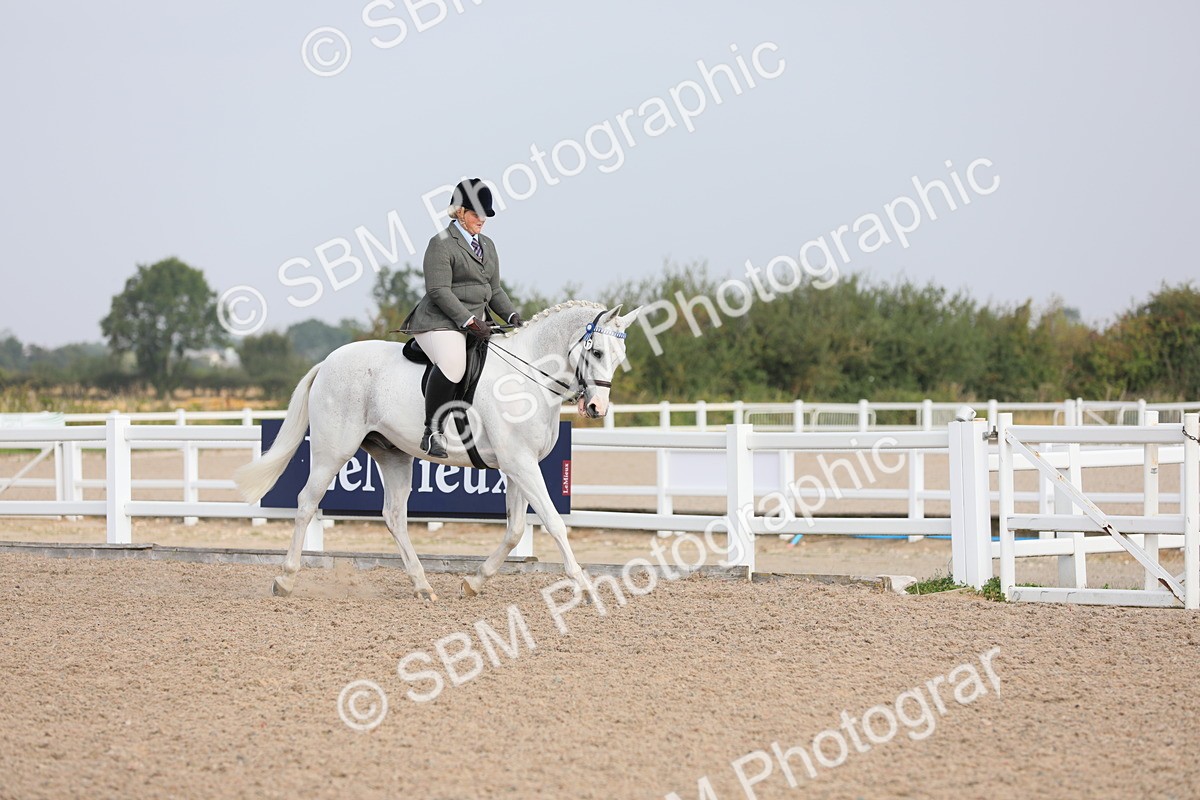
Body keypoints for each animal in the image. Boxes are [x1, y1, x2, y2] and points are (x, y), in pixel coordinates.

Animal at [233, 300, 641, 601]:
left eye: (620, 356)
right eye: (597, 351)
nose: (597, 408)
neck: (529, 380)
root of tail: (327, 362)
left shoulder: (517, 466)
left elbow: (515, 530)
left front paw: (473, 582)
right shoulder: (521, 464)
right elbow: (554, 523)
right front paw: (585, 586)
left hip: (394, 455)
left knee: (394, 516)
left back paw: (422, 585)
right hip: (333, 450)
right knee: (306, 503)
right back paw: (285, 580)